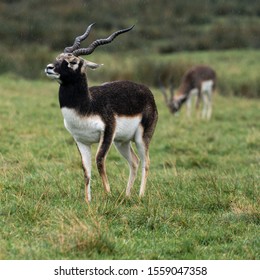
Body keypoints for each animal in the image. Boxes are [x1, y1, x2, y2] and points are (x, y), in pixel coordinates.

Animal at [44, 23, 157, 201]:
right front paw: (88, 201)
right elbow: (86, 170)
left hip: (141, 138)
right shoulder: (81, 140)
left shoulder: (108, 133)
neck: (88, 105)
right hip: (121, 142)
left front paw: (108, 194)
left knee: (146, 162)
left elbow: (99, 161)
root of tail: (146, 90)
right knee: (134, 161)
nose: (50, 68)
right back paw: (127, 195)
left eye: (72, 62)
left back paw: (140, 196)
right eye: (58, 57)